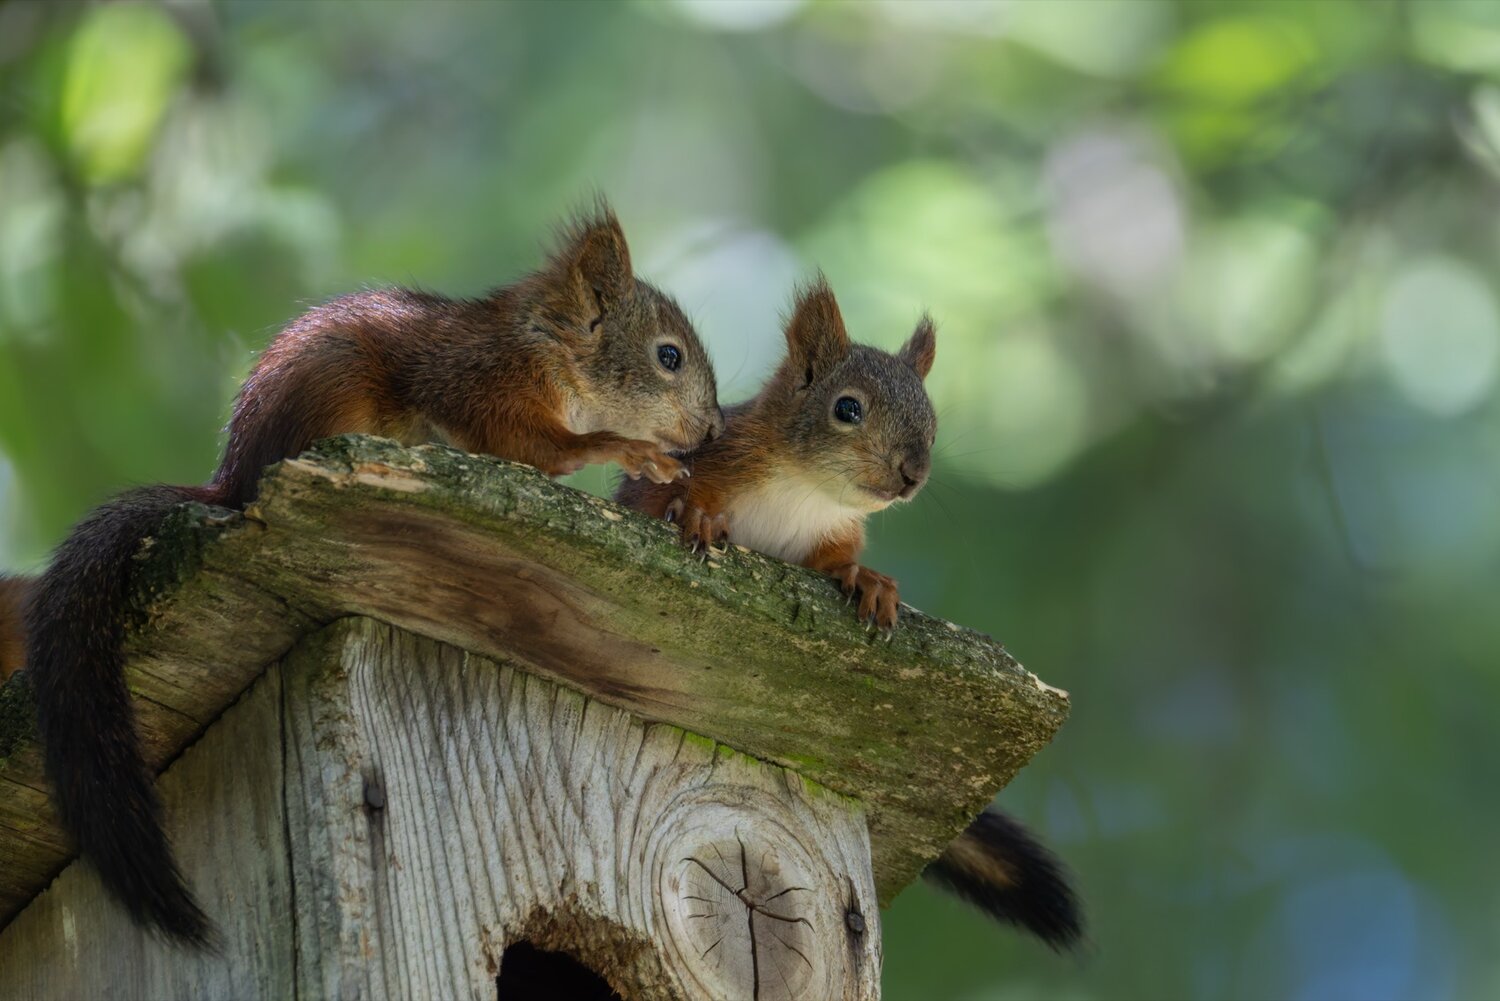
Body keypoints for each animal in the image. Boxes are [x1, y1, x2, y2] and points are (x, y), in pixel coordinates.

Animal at [26, 202, 724, 946]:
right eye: (669, 356)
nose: (711, 430)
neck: (549, 344)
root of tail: (233, 481)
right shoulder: (491, 384)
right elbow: (540, 448)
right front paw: (635, 452)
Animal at [616, 277, 1083, 949]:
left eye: (932, 423)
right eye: (847, 409)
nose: (912, 474)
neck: (804, 489)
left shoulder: (832, 533)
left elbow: (837, 561)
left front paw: (868, 583)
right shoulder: (696, 464)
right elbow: (662, 503)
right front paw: (698, 519)